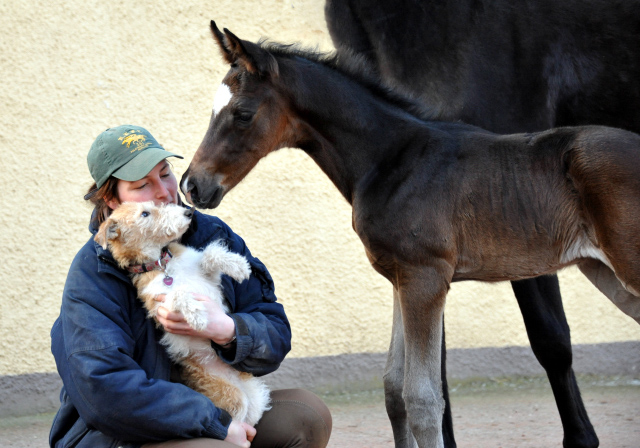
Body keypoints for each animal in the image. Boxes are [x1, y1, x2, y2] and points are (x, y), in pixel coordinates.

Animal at [95, 201, 270, 426]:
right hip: (233, 397)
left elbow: (211, 254)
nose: (188, 212)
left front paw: (239, 266)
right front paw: (197, 315)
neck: (162, 264)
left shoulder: (209, 278)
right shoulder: (161, 305)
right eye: (145, 214)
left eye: (154, 205)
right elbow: (179, 292)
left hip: (255, 394)